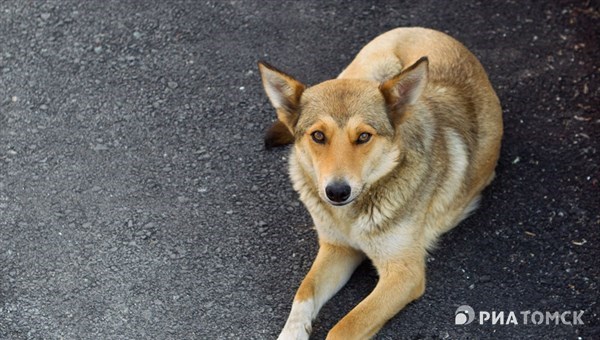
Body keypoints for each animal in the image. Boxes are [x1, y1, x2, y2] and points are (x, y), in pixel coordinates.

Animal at [258, 27, 502, 340]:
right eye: (318, 136)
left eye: (364, 136)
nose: (337, 192)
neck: (354, 213)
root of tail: (428, 30)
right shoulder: (336, 249)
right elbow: (303, 294)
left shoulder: (404, 274)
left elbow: (344, 327)